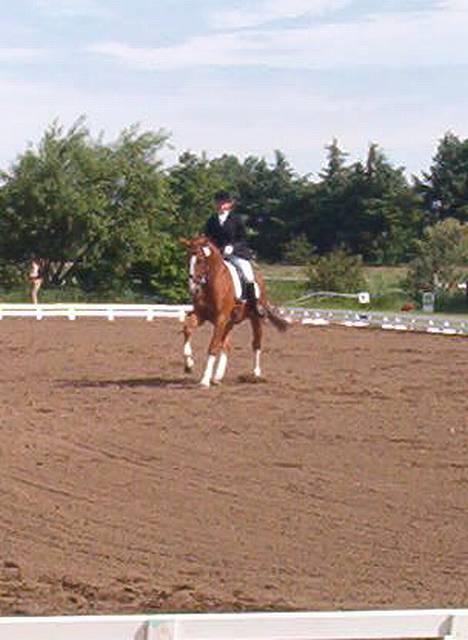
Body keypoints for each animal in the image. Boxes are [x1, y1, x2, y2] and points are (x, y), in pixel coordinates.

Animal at [180, 234, 288, 388]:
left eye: (200, 260)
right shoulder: (201, 315)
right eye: (187, 259)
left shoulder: (220, 319)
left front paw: (204, 380)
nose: (193, 289)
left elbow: (213, 346)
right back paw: (217, 376)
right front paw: (189, 365)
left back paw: (256, 374)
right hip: (229, 322)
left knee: (256, 343)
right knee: (226, 345)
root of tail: (259, 277)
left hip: (255, 318)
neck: (212, 284)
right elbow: (187, 328)